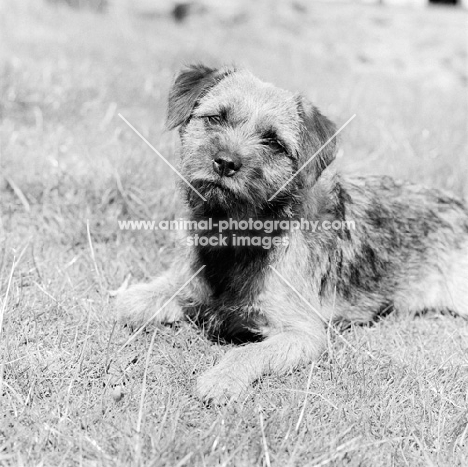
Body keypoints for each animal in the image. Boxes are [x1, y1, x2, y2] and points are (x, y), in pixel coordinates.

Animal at [115, 65, 468, 406]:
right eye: (216, 118)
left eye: (273, 142)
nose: (226, 162)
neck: (236, 236)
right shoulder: (184, 284)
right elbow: (133, 301)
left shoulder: (303, 334)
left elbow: (250, 350)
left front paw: (221, 379)